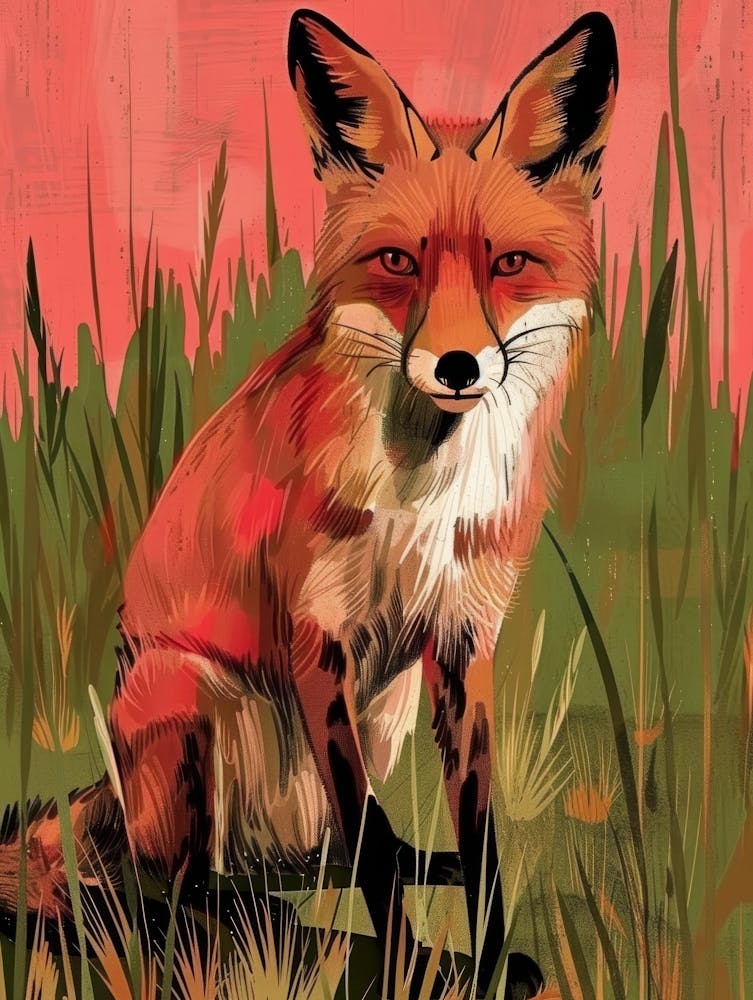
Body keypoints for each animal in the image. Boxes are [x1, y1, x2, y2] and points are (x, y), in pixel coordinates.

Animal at [0, 8, 617, 998]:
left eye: (510, 263)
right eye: (397, 261)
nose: (458, 366)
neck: (423, 498)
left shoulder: (463, 640)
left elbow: (472, 840)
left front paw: (485, 958)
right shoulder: (317, 637)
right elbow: (371, 851)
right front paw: (414, 968)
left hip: (382, 717)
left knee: (319, 860)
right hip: (187, 699)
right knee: (181, 891)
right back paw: (250, 925)